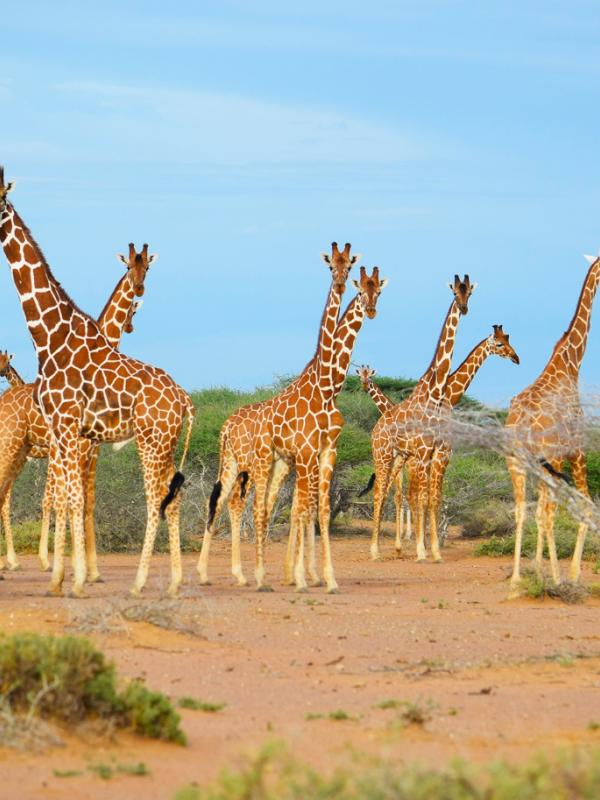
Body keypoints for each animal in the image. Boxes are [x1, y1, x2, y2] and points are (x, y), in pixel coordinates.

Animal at [0, 245, 150, 575]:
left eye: (147, 267)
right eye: (129, 268)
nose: (131, 324)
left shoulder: (89, 446)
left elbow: (84, 498)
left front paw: (86, 566)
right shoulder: (73, 445)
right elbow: (61, 499)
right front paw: (58, 560)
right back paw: (14, 561)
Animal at [366, 276, 475, 564]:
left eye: (469, 292)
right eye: (455, 291)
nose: (463, 308)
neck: (435, 393)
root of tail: (375, 429)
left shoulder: (434, 452)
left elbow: (429, 498)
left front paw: (433, 551)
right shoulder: (425, 453)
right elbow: (422, 497)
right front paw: (422, 551)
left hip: (398, 457)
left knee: (391, 493)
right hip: (383, 455)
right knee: (380, 492)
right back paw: (375, 551)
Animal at [505, 253, 600, 597]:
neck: (570, 363)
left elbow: (538, 514)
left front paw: (537, 570)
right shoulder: (577, 450)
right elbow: (583, 508)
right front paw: (569, 575)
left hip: (517, 465)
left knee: (523, 511)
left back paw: (517, 579)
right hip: (552, 461)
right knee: (550, 514)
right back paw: (558, 579)